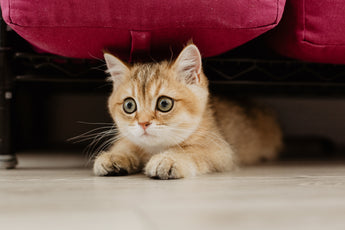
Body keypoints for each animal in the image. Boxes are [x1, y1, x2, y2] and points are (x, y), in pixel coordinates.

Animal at [92, 44, 280, 179]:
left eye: (164, 103)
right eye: (129, 106)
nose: (143, 123)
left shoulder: (223, 151)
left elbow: (191, 150)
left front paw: (168, 159)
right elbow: (127, 144)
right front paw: (115, 156)